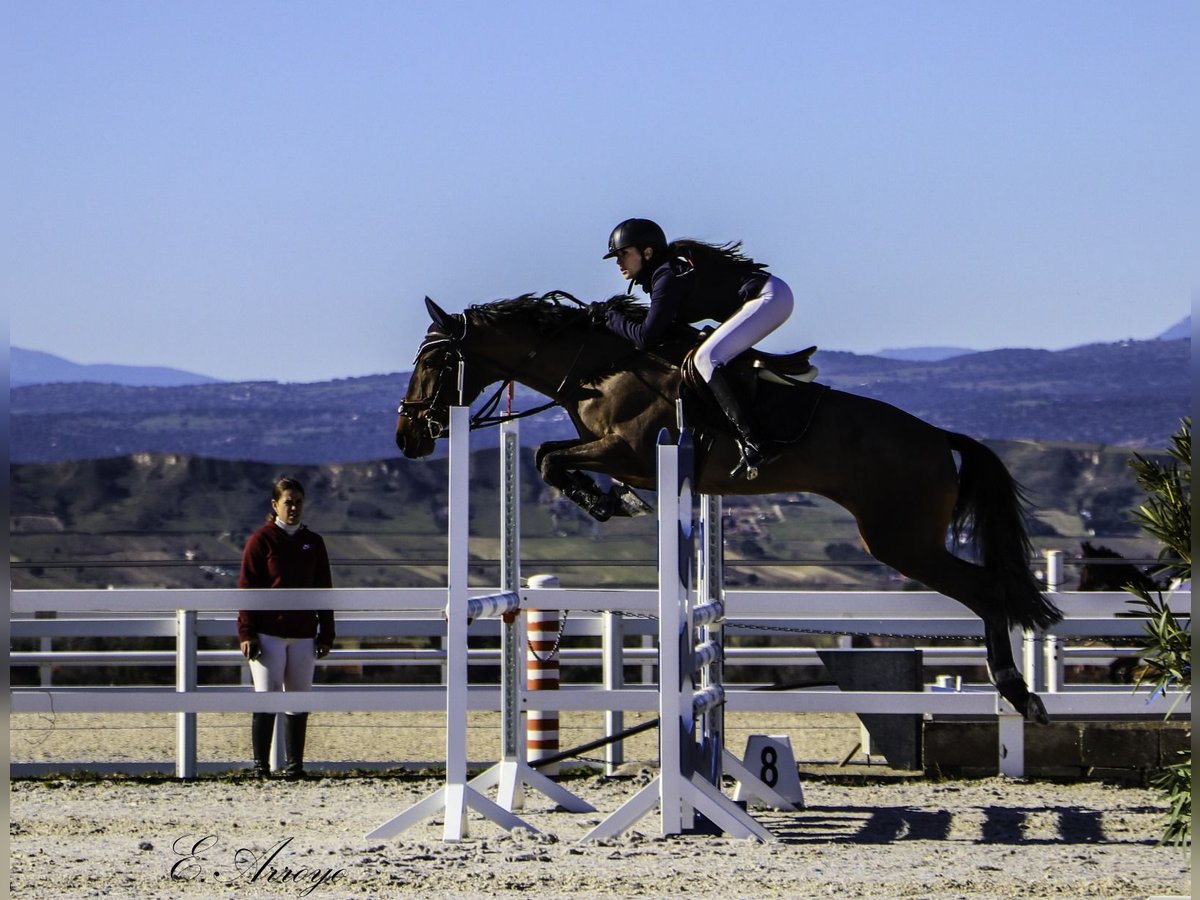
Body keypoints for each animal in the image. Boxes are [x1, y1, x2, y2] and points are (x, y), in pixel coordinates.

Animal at [398, 292, 1065, 724]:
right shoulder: (621, 454)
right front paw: (609, 499)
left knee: (988, 591)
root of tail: (937, 439)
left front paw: (606, 501)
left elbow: (547, 458)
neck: (597, 368)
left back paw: (1020, 694)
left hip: (902, 540)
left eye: (433, 361)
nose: (408, 438)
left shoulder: (631, 450)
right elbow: (549, 457)